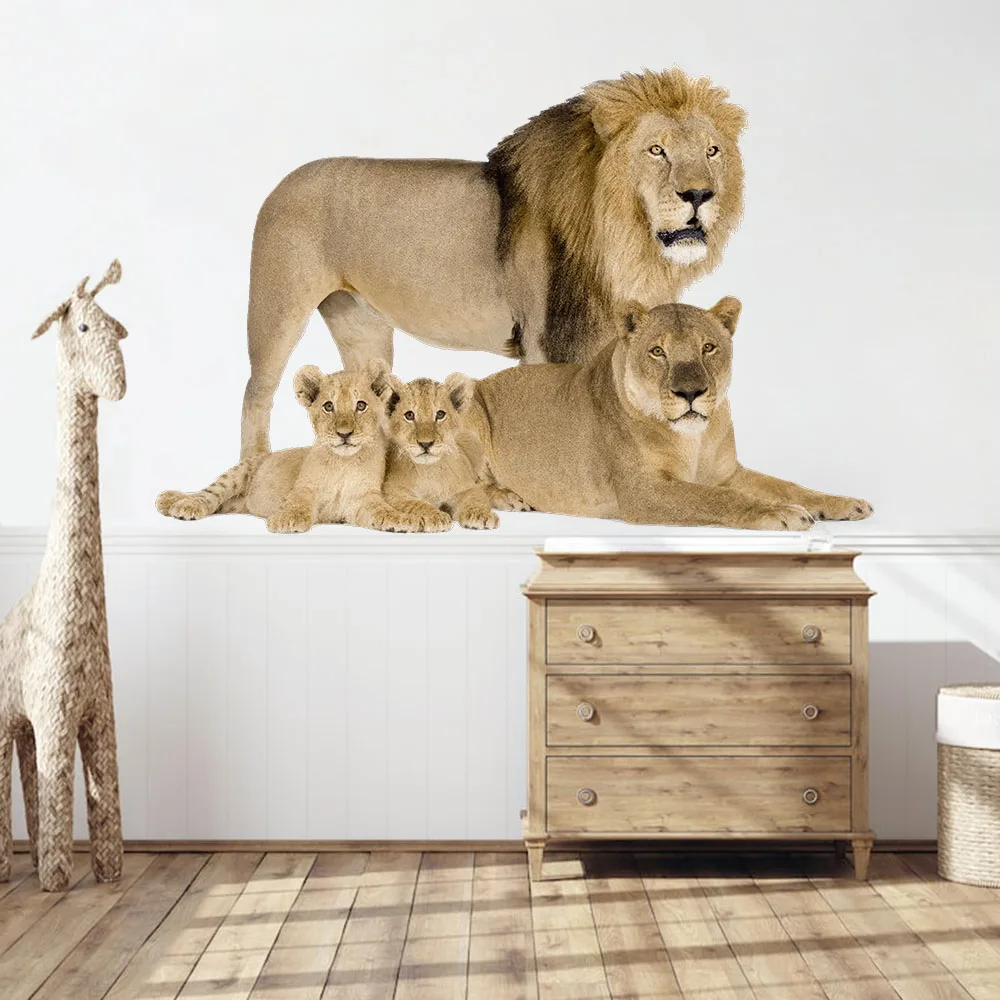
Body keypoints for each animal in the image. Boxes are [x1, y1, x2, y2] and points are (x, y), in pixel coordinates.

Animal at [156, 361, 427, 533]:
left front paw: (400, 519)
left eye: (361, 405)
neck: (343, 462)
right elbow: (298, 503)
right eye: (328, 406)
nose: (344, 434)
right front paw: (286, 519)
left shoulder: (362, 499)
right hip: (237, 474)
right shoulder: (304, 488)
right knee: (209, 493)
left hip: (234, 504)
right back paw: (180, 503)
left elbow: (381, 510)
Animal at [239, 68, 746, 458]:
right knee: (255, 394)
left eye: (712, 151)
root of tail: (283, 181)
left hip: (361, 325)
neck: (624, 241)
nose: (699, 194)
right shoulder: (545, 340)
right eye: (656, 150)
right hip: (277, 310)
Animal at [381, 374, 532, 531]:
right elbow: (416, 504)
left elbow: (474, 499)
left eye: (440, 414)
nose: (425, 443)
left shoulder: (466, 488)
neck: (430, 470)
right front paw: (436, 516)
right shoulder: (393, 492)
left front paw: (482, 515)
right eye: (409, 415)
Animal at [466, 299, 874, 530]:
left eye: (708, 347)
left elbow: (788, 485)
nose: (690, 393)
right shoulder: (643, 491)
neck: (695, 438)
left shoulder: (728, 473)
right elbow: (718, 499)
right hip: (469, 399)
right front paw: (783, 513)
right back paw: (507, 497)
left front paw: (842, 503)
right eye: (658, 351)